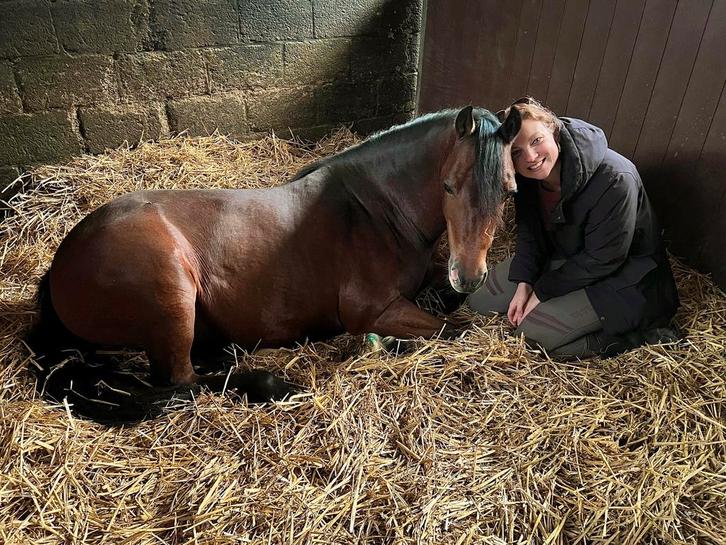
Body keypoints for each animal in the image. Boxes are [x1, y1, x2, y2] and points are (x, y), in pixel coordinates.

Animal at [27, 105, 521, 424]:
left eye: (509, 190)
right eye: (449, 185)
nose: (469, 275)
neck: (374, 210)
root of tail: (62, 262)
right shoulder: (372, 310)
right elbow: (453, 330)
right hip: (173, 298)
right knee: (182, 381)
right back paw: (271, 385)